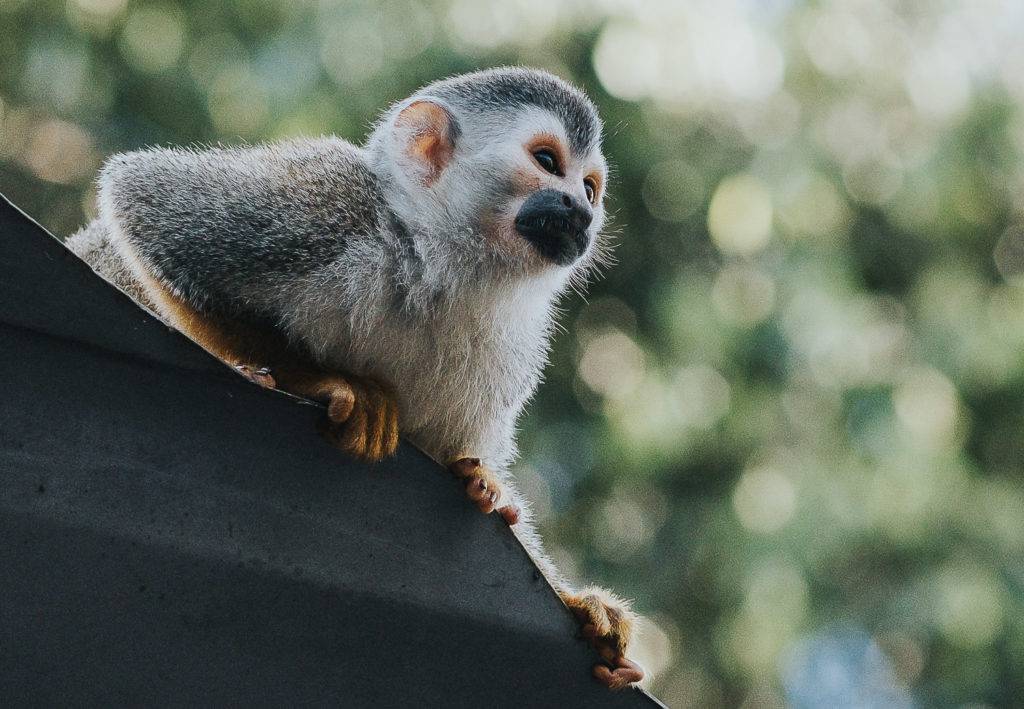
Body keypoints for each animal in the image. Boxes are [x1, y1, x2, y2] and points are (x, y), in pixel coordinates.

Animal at [66, 69, 638, 688]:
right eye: (547, 161)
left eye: (590, 187)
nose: (581, 210)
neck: (444, 261)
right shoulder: (326, 204)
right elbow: (142, 202)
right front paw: (320, 383)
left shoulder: (514, 346)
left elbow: (455, 457)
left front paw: (546, 562)